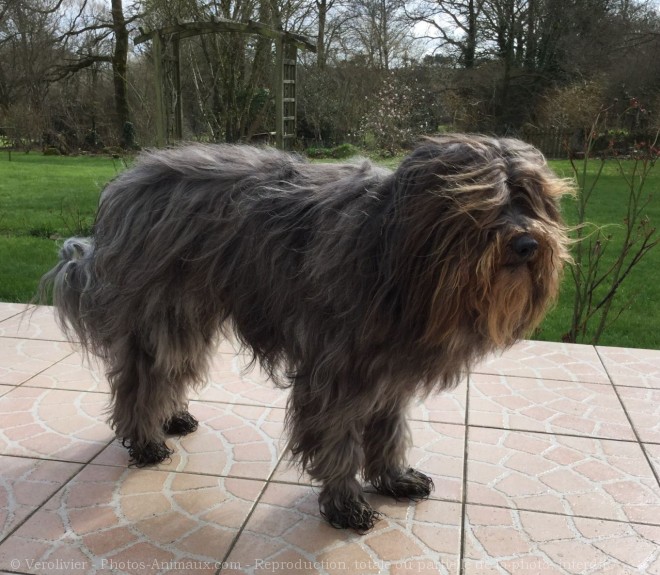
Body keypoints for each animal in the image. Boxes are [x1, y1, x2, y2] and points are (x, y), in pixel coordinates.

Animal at [40, 134, 572, 532]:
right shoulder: (338, 373)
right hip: (161, 313)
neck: (397, 255)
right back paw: (145, 438)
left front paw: (393, 477)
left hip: (190, 315)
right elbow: (338, 441)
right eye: (484, 202)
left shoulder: (389, 370)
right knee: (140, 378)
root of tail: (128, 181)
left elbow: (389, 431)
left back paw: (170, 418)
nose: (528, 243)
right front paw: (346, 504)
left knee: (169, 370)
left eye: (530, 199)